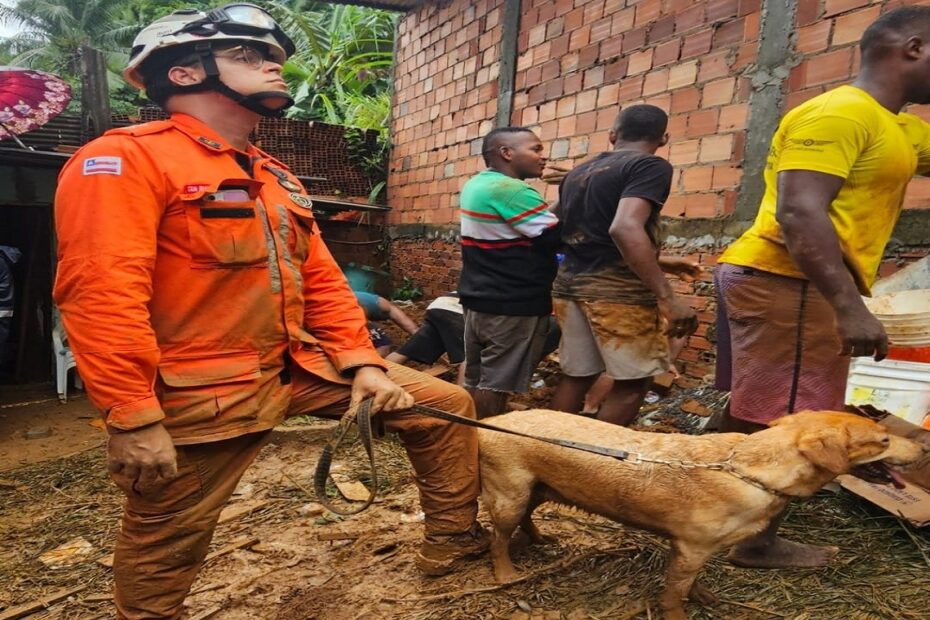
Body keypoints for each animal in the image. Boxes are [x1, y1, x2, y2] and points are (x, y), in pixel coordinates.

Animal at [474, 410, 924, 616]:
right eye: (883, 439)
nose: (922, 447)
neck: (751, 470)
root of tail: (490, 420)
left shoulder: (695, 551)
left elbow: (693, 582)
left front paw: (704, 595)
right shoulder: (690, 548)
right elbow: (674, 594)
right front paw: (679, 611)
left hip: (536, 490)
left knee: (525, 522)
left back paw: (539, 539)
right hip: (510, 495)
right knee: (498, 539)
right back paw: (506, 573)